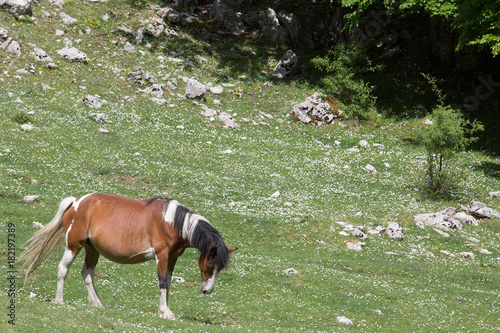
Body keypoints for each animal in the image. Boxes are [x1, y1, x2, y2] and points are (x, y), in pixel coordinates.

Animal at [19, 193, 236, 318]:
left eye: (220, 268)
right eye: (209, 266)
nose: (207, 290)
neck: (173, 222)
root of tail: (76, 202)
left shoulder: (172, 258)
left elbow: (168, 284)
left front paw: (164, 310)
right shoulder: (162, 256)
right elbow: (162, 284)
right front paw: (165, 312)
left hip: (92, 249)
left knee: (87, 273)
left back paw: (96, 303)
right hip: (73, 245)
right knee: (63, 269)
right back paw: (59, 300)